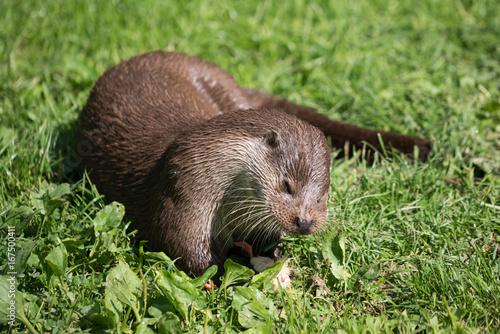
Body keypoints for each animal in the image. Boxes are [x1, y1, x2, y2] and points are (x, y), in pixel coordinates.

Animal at [76, 51, 432, 282]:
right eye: (287, 185)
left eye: (322, 196)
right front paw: (228, 273)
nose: (304, 222)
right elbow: (184, 248)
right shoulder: (180, 188)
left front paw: (271, 255)